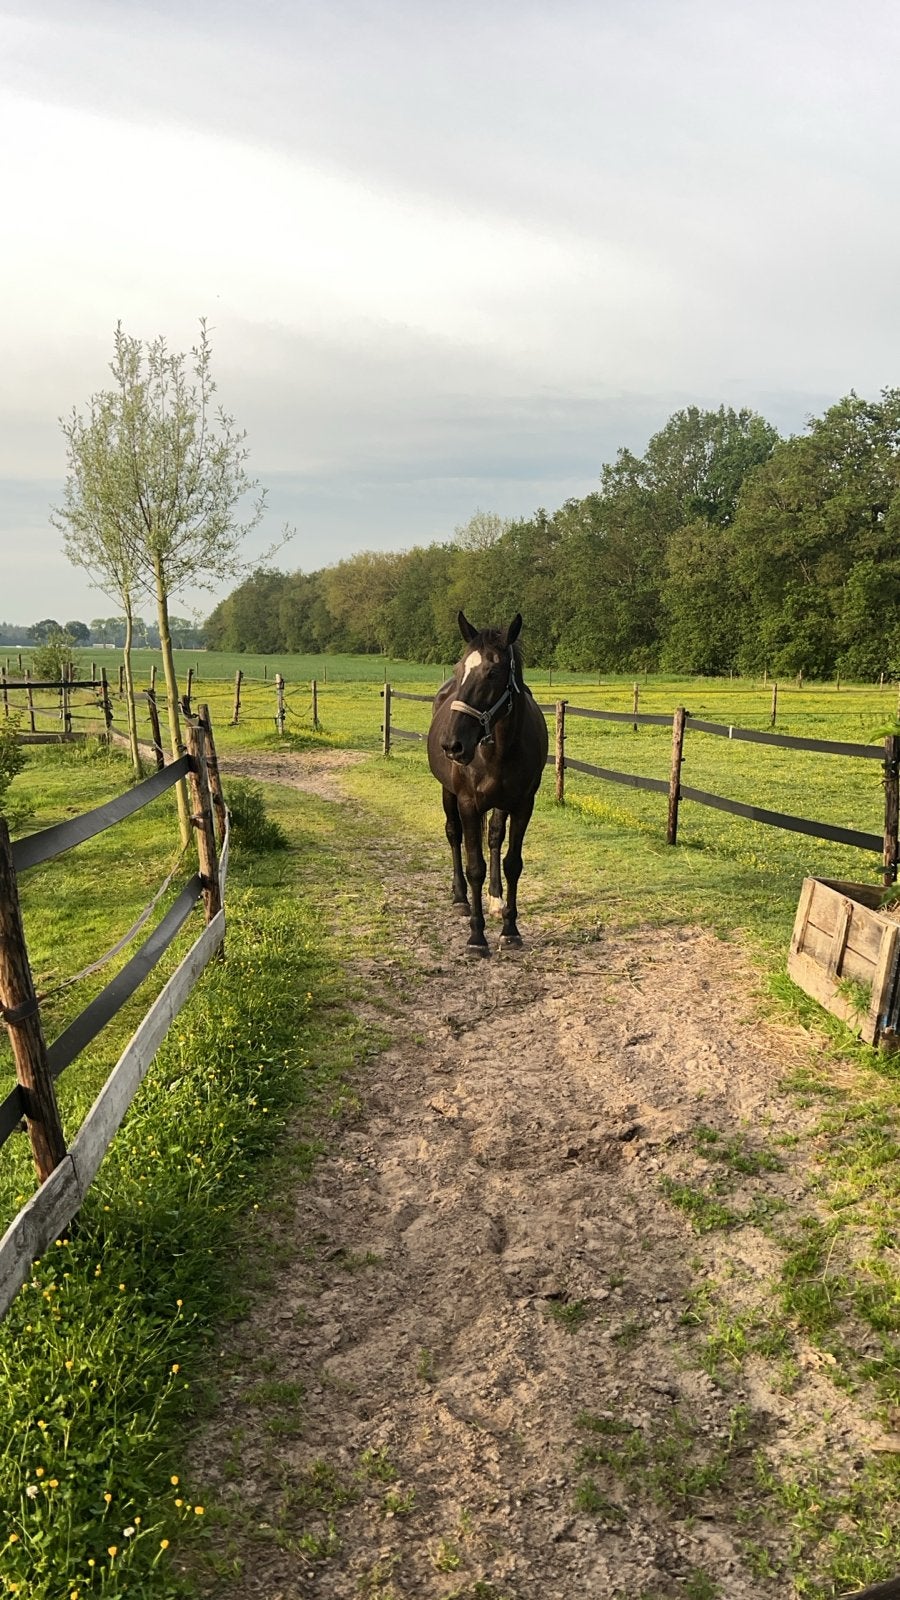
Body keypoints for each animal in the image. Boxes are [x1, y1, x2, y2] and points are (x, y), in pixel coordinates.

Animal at [427, 611, 548, 956]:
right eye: (459, 669)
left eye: (493, 672)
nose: (453, 745)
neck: (499, 750)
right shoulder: (468, 803)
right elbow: (474, 866)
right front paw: (477, 938)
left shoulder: (522, 805)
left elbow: (512, 862)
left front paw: (510, 929)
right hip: (447, 793)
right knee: (453, 835)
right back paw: (460, 898)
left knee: (494, 838)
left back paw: (495, 900)